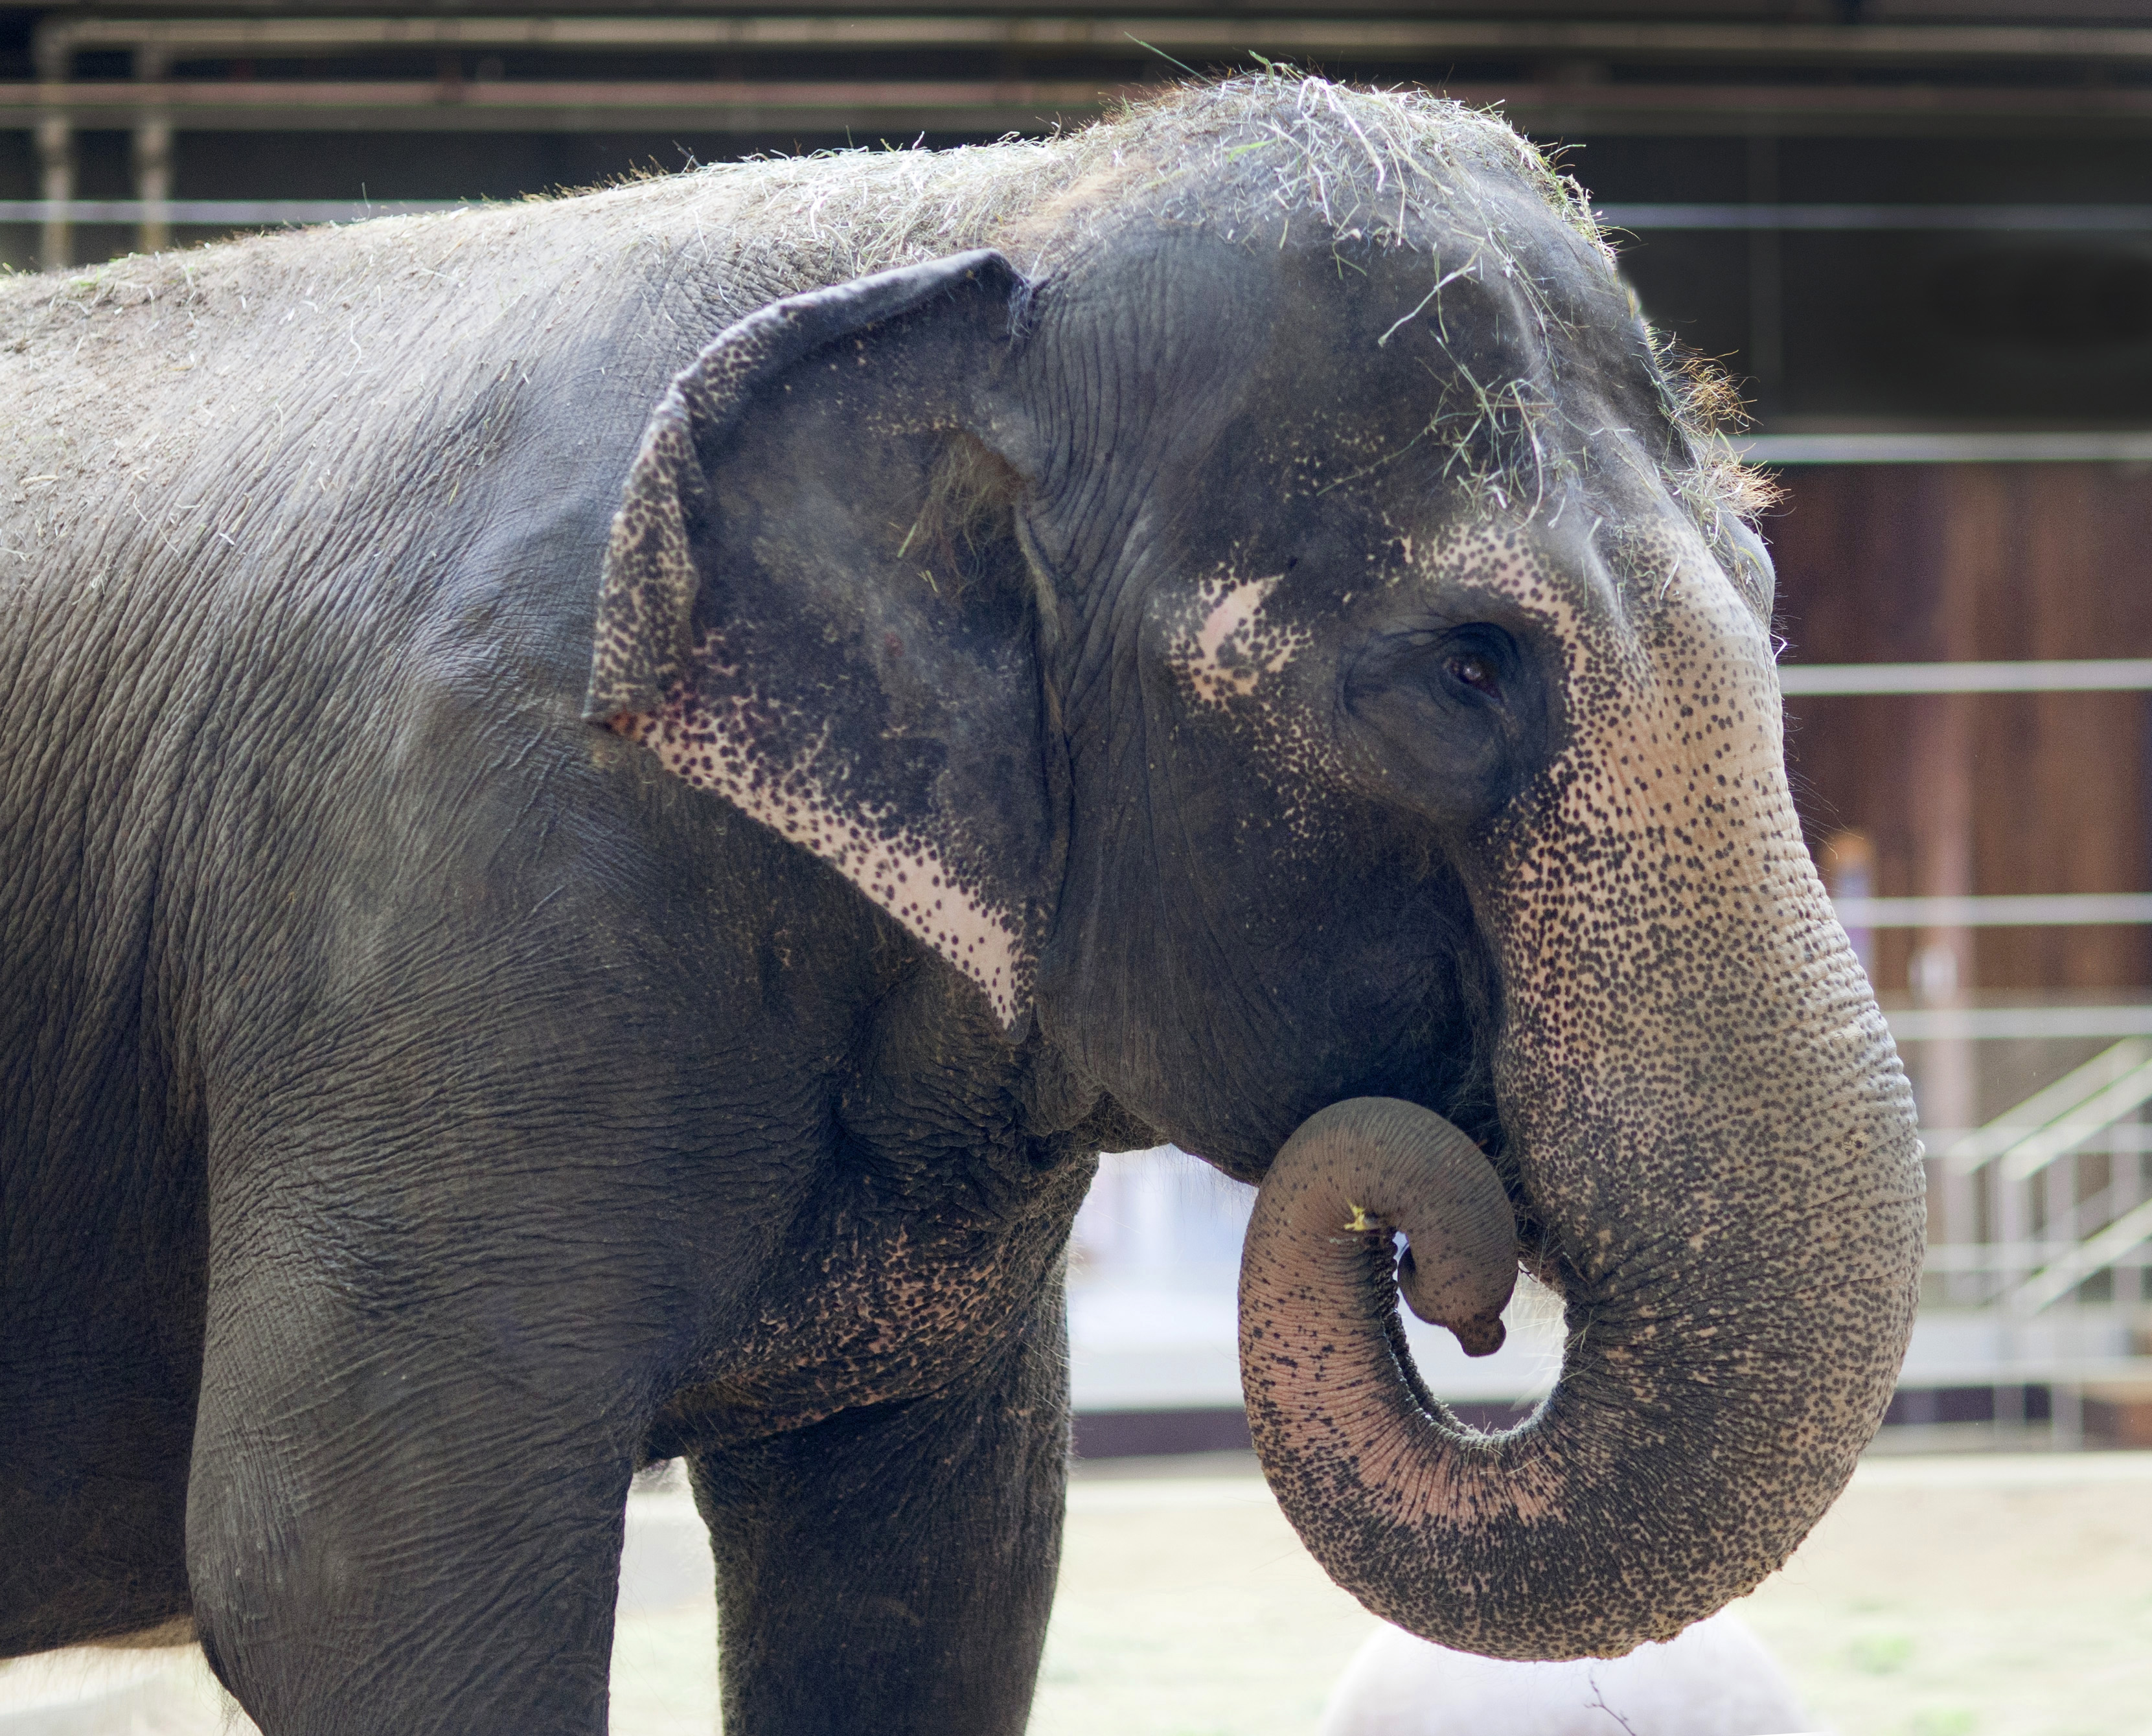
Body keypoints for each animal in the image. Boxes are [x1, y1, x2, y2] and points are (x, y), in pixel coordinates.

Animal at [0, 74, 1919, 1736]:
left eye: (1767, 583)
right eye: (1462, 668)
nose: (1457, 1269)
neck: (980, 217)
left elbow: (935, 1572)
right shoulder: (445, 905)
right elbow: (338, 1569)